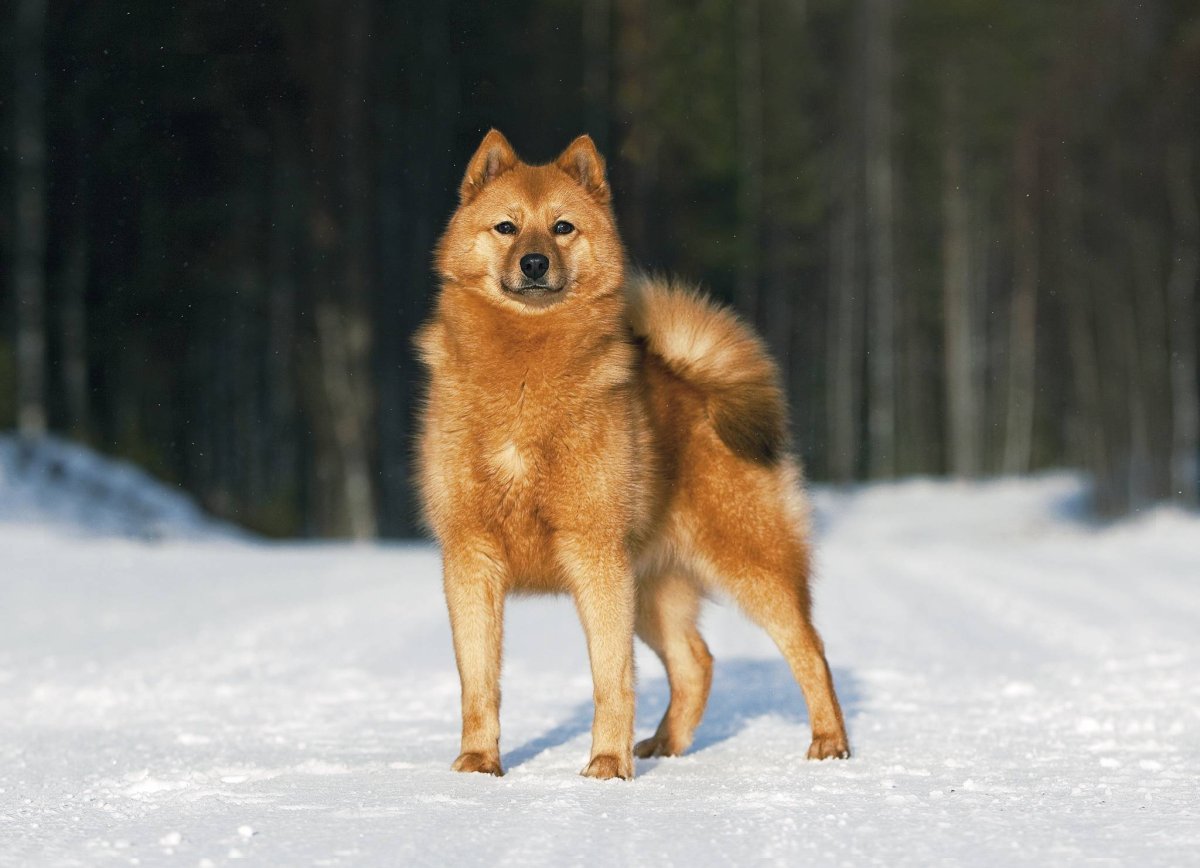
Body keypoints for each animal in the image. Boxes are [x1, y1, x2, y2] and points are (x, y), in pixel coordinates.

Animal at [417, 129, 849, 782]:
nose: (535, 262)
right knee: (696, 662)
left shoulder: (595, 558)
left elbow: (611, 678)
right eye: (506, 227)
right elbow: (479, 681)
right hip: (651, 589)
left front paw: (606, 765)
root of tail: (699, 387)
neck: (524, 378)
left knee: (809, 649)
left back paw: (829, 743)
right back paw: (667, 744)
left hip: (748, 564)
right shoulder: (471, 558)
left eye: (563, 227)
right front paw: (479, 762)